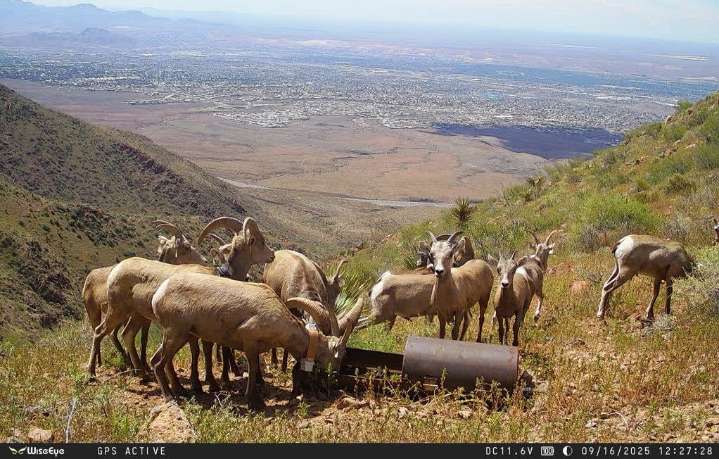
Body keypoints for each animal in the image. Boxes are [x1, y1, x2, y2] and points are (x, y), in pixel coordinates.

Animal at [86, 217, 274, 391]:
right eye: (260, 240)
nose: (272, 255)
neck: (222, 276)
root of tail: (115, 272)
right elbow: (204, 351)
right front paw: (211, 383)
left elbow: (198, 352)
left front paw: (198, 382)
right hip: (117, 310)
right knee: (100, 332)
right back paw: (91, 373)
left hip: (137, 315)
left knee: (127, 335)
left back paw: (143, 374)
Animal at [150, 272, 360, 409]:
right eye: (337, 355)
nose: (334, 380)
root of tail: (158, 295)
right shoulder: (250, 343)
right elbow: (252, 370)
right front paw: (254, 402)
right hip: (176, 334)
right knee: (159, 364)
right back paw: (169, 397)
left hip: (177, 336)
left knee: (156, 360)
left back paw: (181, 392)